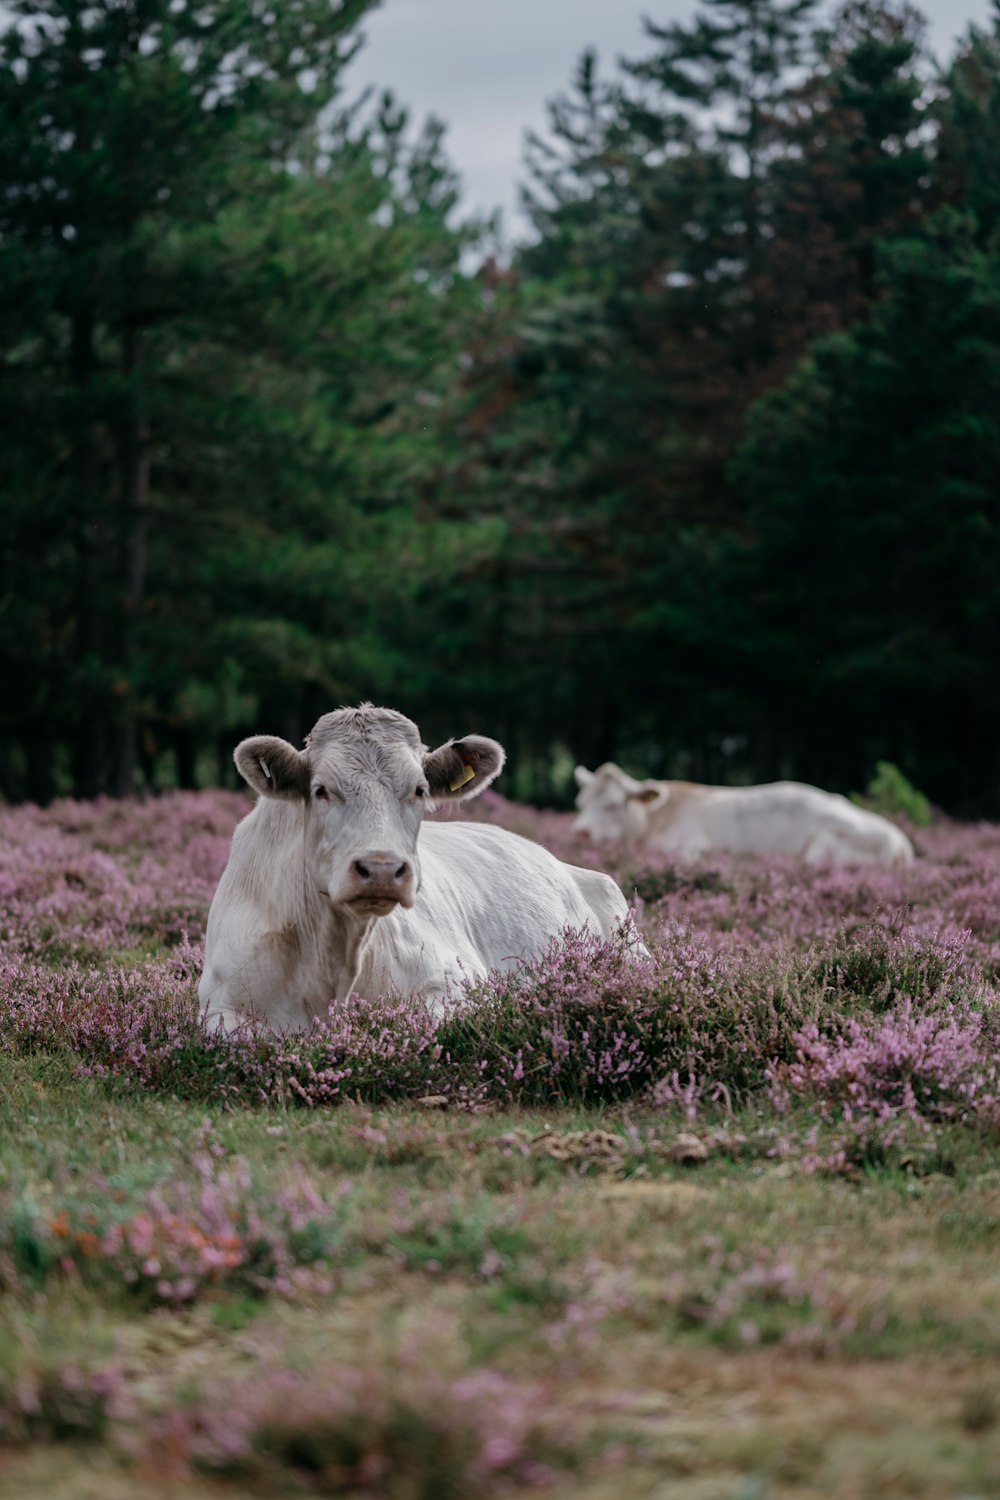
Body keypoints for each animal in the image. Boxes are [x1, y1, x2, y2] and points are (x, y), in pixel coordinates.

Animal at [569, 762, 917, 870]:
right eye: (580, 802)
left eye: (613, 805)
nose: (580, 832)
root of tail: (898, 838)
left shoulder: (691, 846)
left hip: (823, 849)